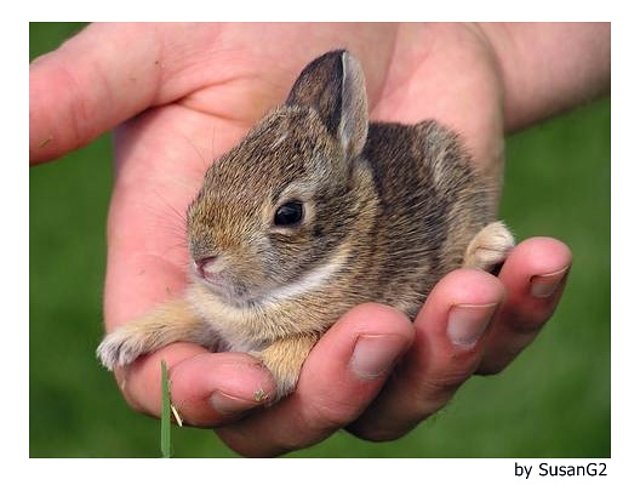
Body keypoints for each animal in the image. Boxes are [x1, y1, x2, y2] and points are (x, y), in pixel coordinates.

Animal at [96, 48, 516, 400]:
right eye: (213, 174)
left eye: (289, 214)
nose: (203, 259)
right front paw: (119, 345)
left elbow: (299, 342)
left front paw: (262, 371)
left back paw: (490, 245)